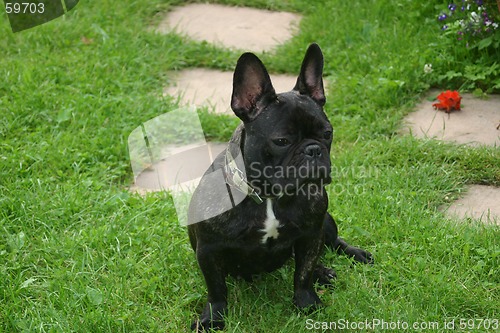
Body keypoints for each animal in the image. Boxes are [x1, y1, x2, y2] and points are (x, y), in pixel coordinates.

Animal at [187, 42, 372, 330]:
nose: (313, 150)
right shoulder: (208, 250)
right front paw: (213, 319)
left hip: (326, 221)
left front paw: (307, 303)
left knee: (331, 244)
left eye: (327, 133)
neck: (269, 197)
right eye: (282, 140)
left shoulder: (311, 233)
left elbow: (303, 273)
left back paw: (344, 260)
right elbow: (216, 289)